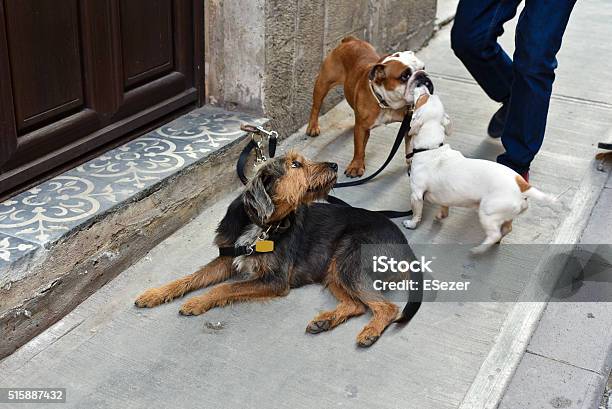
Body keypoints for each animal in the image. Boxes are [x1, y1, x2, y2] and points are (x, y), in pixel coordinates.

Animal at [135, 151, 420, 346]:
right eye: (296, 164)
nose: (335, 165)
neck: (262, 224)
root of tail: (406, 246)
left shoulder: (275, 279)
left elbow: (225, 288)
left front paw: (197, 301)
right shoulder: (227, 257)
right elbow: (191, 277)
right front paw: (156, 294)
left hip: (349, 262)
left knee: (388, 308)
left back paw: (370, 332)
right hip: (334, 269)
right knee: (358, 305)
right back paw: (324, 321)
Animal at [306, 37, 436, 178]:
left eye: (423, 67)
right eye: (404, 76)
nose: (423, 75)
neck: (387, 103)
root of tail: (350, 40)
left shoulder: (408, 124)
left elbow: (409, 146)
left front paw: (411, 163)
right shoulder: (362, 128)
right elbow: (358, 148)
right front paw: (356, 166)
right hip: (323, 84)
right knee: (316, 106)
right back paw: (312, 127)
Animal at [402, 87, 556, 252]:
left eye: (423, 98)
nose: (423, 86)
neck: (431, 148)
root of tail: (522, 185)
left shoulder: (416, 195)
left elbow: (417, 213)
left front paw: (411, 224)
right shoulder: (445, 197)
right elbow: (444, 207)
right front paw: (440, 216)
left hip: (487, 213)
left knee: (494, 233)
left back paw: (478, 249)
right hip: (506, 216)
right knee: (507, 229)